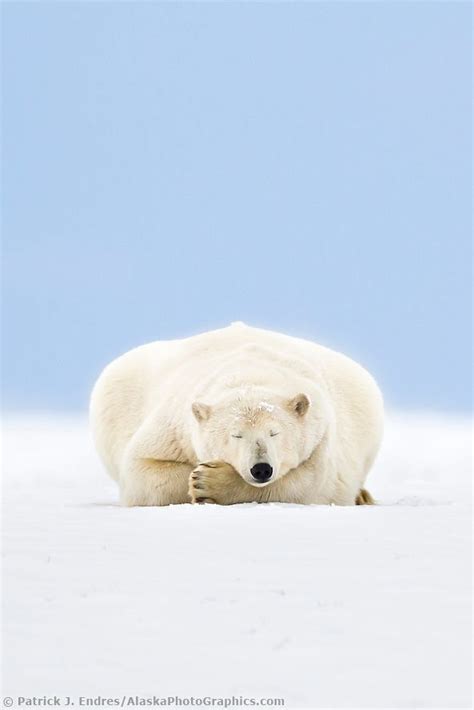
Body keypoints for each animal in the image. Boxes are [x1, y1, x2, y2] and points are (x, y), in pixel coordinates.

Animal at [90, 322, 384, 506]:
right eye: (236, 435)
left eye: (274, 433)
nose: (261, 468)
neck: (249, 371)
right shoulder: (174, 427)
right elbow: (141, 470)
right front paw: (197, 477)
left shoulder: (321, 433)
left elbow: (311, 484)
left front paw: (210, 482)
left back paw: (363, 496)